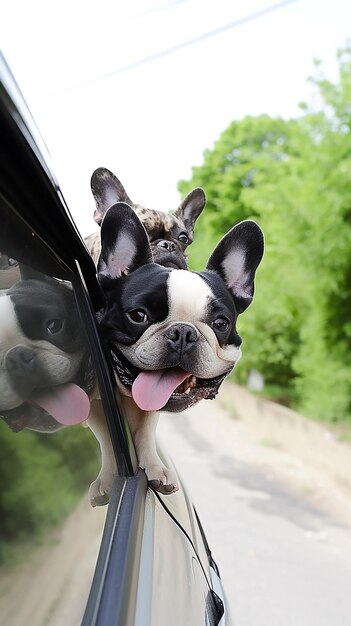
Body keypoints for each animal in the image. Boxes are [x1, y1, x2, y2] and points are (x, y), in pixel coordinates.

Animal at [96, 200, 264, 492]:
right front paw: (107, 480)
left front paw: (154, 467)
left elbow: (145, 429)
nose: (183, 332)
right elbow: (106, 432)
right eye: (138, 315)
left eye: (220, 323)